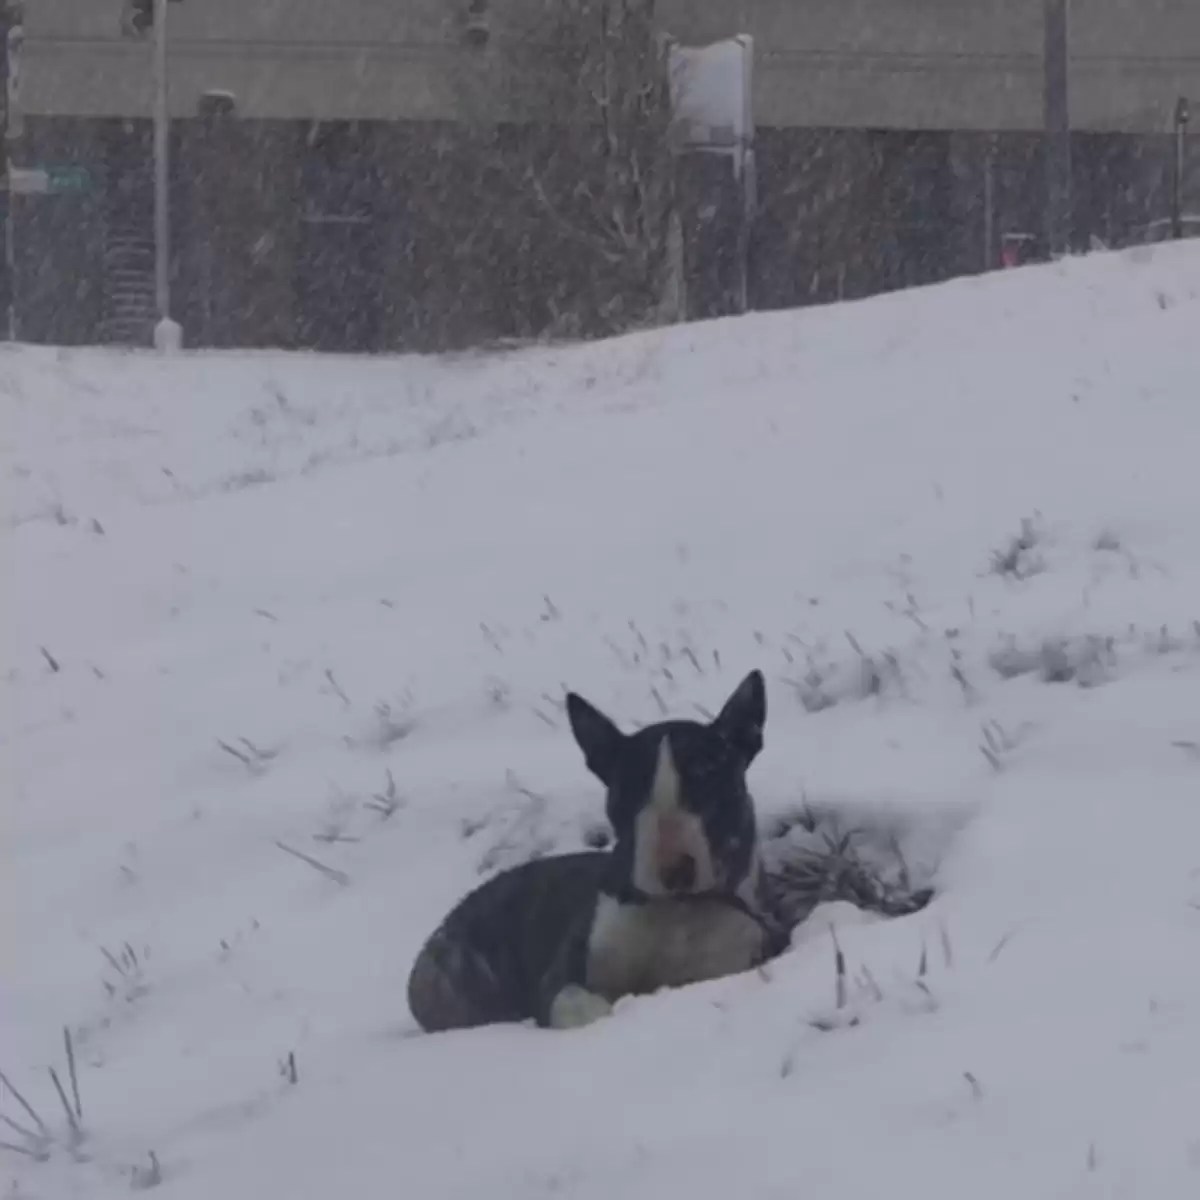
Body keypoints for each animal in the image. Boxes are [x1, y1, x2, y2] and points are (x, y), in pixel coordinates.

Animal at [408, 672, 792, 1036]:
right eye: (628, 794)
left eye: (711, 784)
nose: (674, 871)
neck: (678, 912)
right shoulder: (565, 971)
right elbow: (574, 1000)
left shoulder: (737, 953)